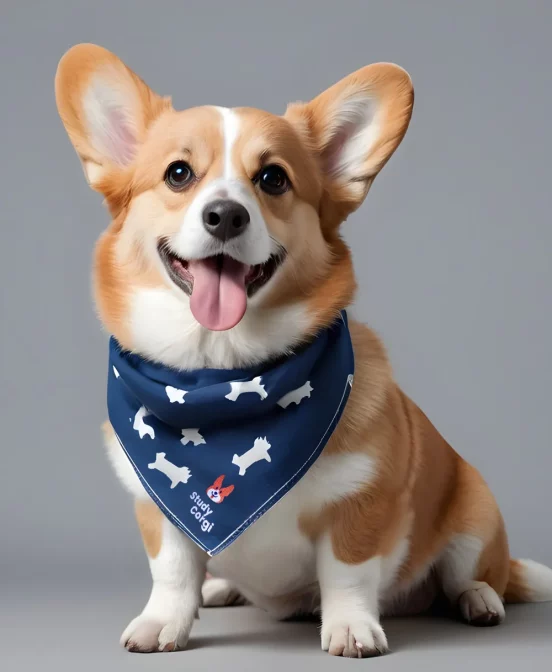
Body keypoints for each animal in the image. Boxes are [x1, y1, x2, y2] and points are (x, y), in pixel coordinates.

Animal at [52, 44, 552, 660]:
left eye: (272, 178)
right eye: (178, 174)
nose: (226, 215)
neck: (220, 376)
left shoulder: (359, 504)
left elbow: (347, 574)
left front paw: (351, 628)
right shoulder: (160, 511)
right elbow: (171, 572)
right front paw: (163, 621)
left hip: (474, 514)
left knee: (473, 575)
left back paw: (480, 601)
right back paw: (220, 588)